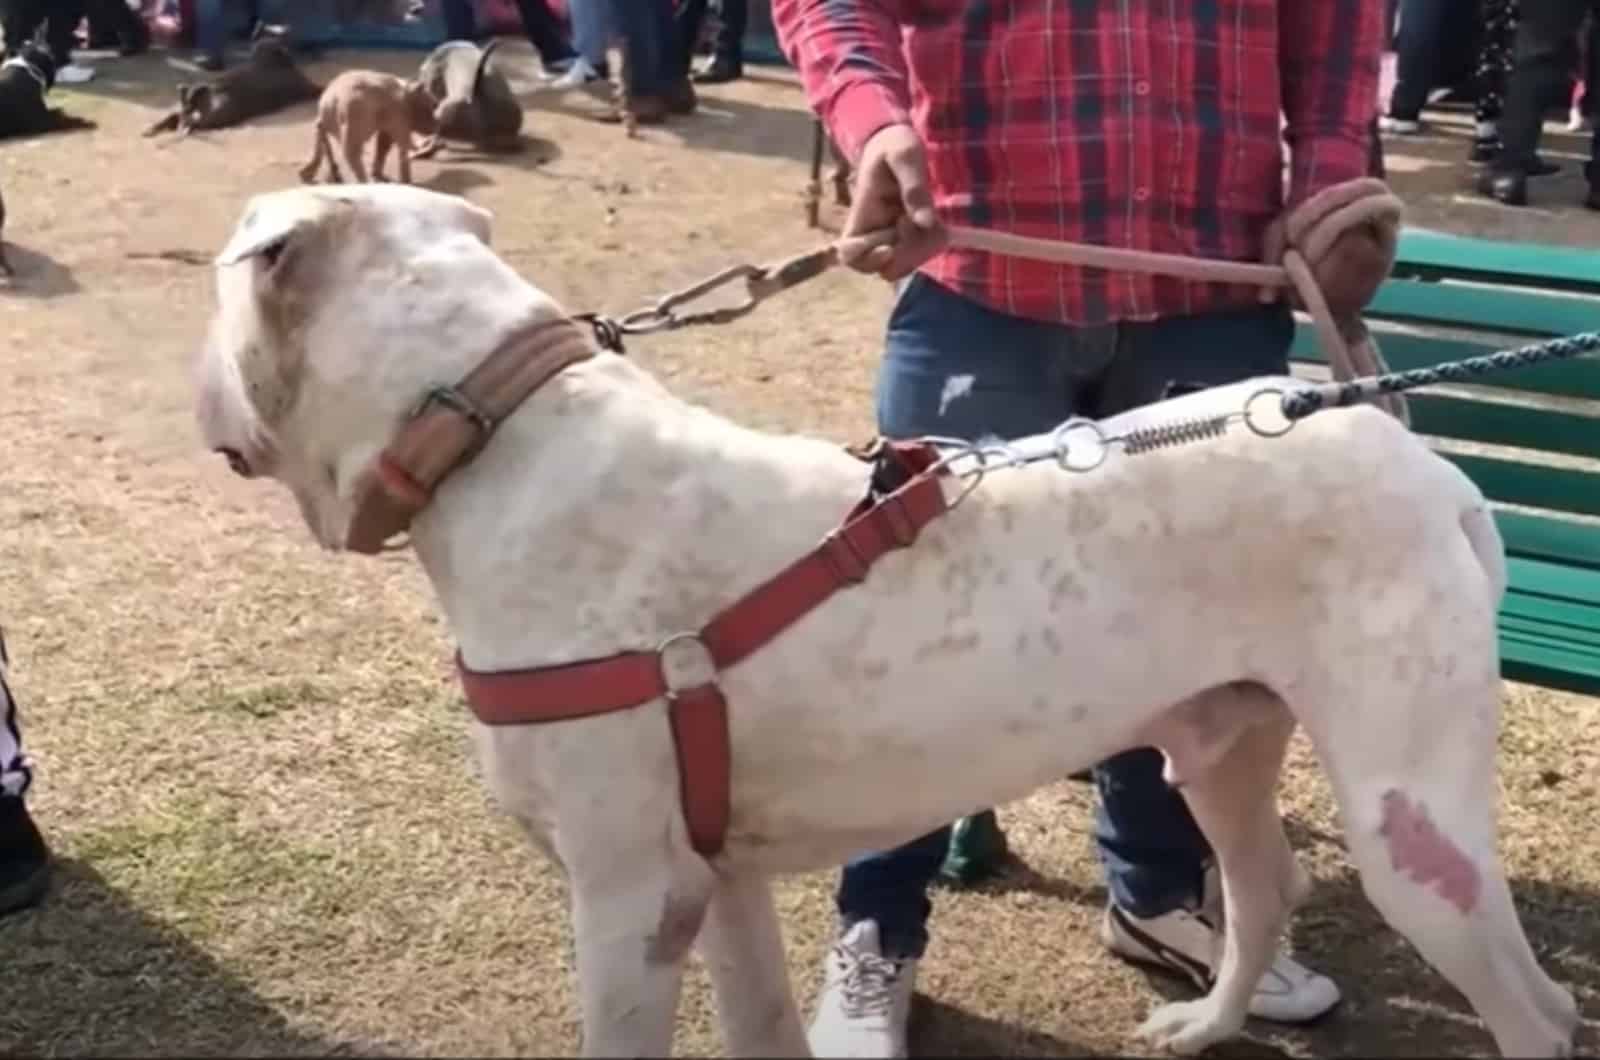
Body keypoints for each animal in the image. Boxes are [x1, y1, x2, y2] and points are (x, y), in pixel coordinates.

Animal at [196, 184, 1574, 1060]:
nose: (193, 386)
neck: (490, 432)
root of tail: (1410, 451)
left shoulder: (630, 903)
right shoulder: (718, 885)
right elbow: (760, 1029)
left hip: (1414, 836)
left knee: (1531, 1008)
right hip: (1220, 746)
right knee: (1262, 882)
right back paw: (1205, 1024)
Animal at [297, 70, 438, 184]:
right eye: (432, 106)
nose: (436, 126)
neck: (407, 86)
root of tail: (333, 100)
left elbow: (384, 142)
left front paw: (379, 175)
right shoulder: (398, 112)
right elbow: (398, 141)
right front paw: (407, 182)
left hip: (334, 118)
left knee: (321, 132)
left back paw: (321, 177)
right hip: (354, 114)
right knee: (351, 151)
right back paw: (363, 183)